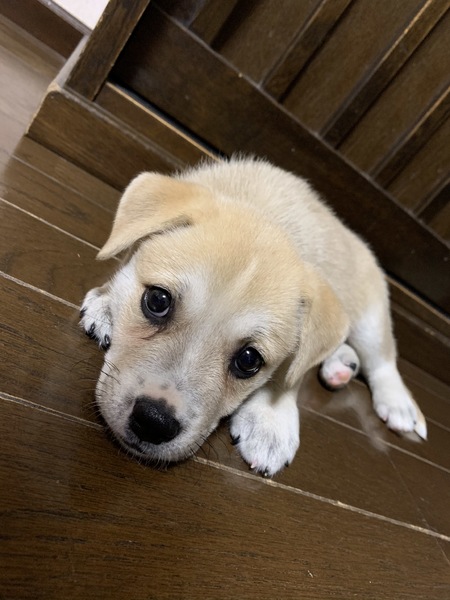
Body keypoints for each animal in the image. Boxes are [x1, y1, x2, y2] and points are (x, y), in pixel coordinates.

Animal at [80, 158, 427, 476]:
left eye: (249, 360)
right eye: (157, 300)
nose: (154, 422)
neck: (265, 209)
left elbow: (287, 375)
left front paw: (270, 421)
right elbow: (124, 262)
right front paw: (105, 301)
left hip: (369, 317)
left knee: (383, 362)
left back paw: (398, 405)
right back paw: (341, 365)